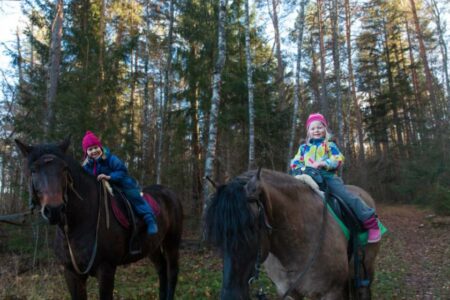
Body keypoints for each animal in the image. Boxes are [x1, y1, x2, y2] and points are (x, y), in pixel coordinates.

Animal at [16, 138, 183, 300]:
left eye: (64, 168)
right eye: (33, 170)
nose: (55, 210)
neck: (77, 225)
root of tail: (170, 192)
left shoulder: (106, 270)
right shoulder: (71, 274)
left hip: (172, 242)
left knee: (172, 271)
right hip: (152, 245)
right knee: (161, 269)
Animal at [204, 169, 380, 300]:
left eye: (252, 227)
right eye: (218, 234)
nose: (230, 296)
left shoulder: (332, 293)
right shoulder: (288, 293)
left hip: (366, 270)